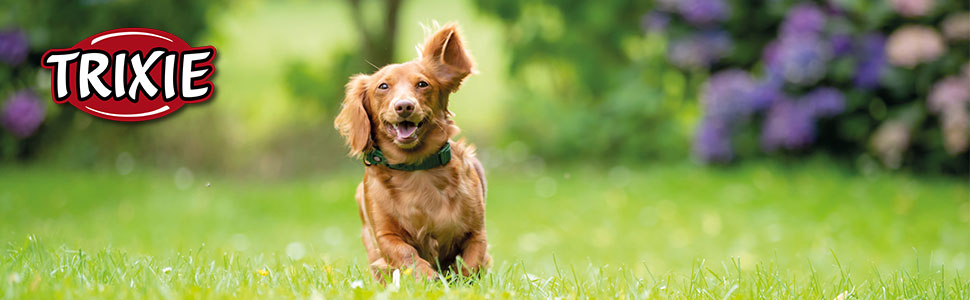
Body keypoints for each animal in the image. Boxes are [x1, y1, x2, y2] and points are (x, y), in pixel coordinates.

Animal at [332, 23, 488, 282]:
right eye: (383, 86)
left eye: (422, 84)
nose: (404, 106)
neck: (416, 167)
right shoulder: (385, 235)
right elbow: (406, 254)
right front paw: (427, 277)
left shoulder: (476, 230)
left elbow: (471, 262)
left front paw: (461, 282)